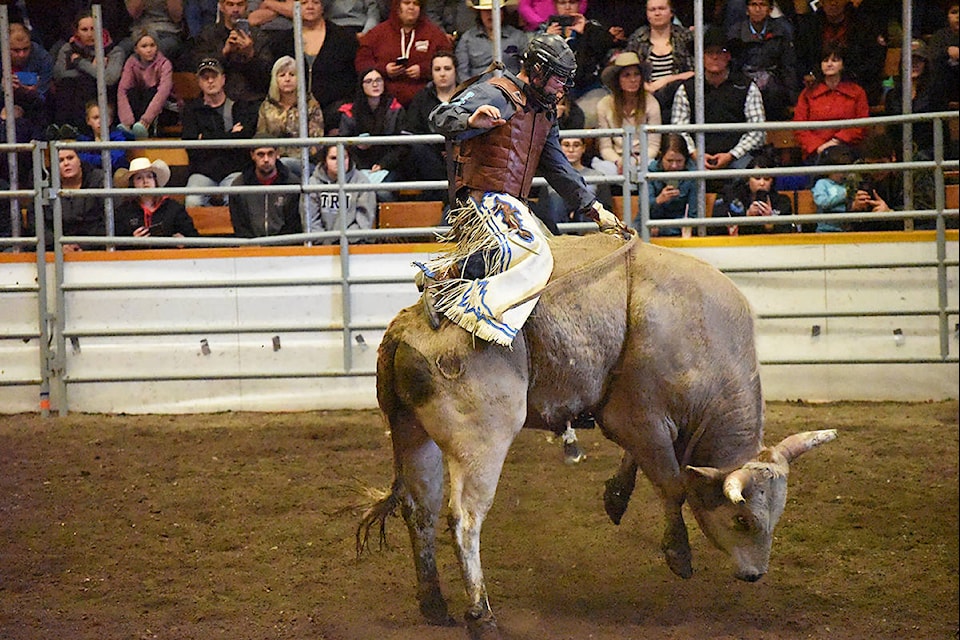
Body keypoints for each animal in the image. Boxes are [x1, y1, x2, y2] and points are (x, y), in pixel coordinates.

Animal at [356, 232, 836, 636]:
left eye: (775, 516)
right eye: (742, 519)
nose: (755, 574)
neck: (699, 338)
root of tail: (410, 327)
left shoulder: (636, 422)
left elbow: (643, 466)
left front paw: (616, 495)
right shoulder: (639, 417)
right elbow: (672, 483)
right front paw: (678, 554)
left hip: (412, 432)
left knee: (420, 511)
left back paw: (434, 604)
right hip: (479, 443)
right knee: (464, 519)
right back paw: (481, 614)